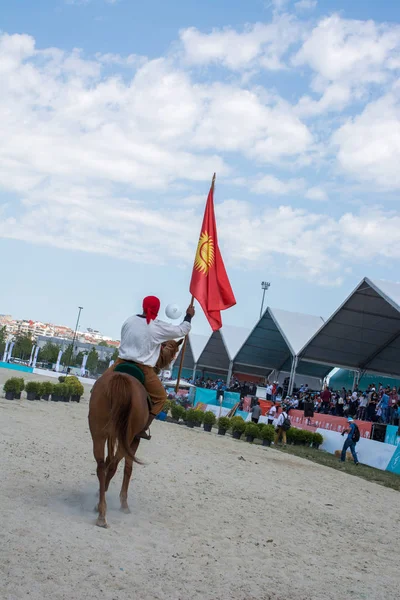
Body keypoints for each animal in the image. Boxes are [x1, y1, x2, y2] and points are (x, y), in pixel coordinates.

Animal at [89, 340, 183, 528]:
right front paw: (123, 503)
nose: (166, 368)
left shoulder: (111, 436)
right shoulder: (134, 440)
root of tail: (121, 379)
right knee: (113, 466)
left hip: (98, 434)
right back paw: (102, 510)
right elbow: (128, 468)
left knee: (102, 465)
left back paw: (101, 508)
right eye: (172, 354)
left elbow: (110, 460)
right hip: (128, 436)